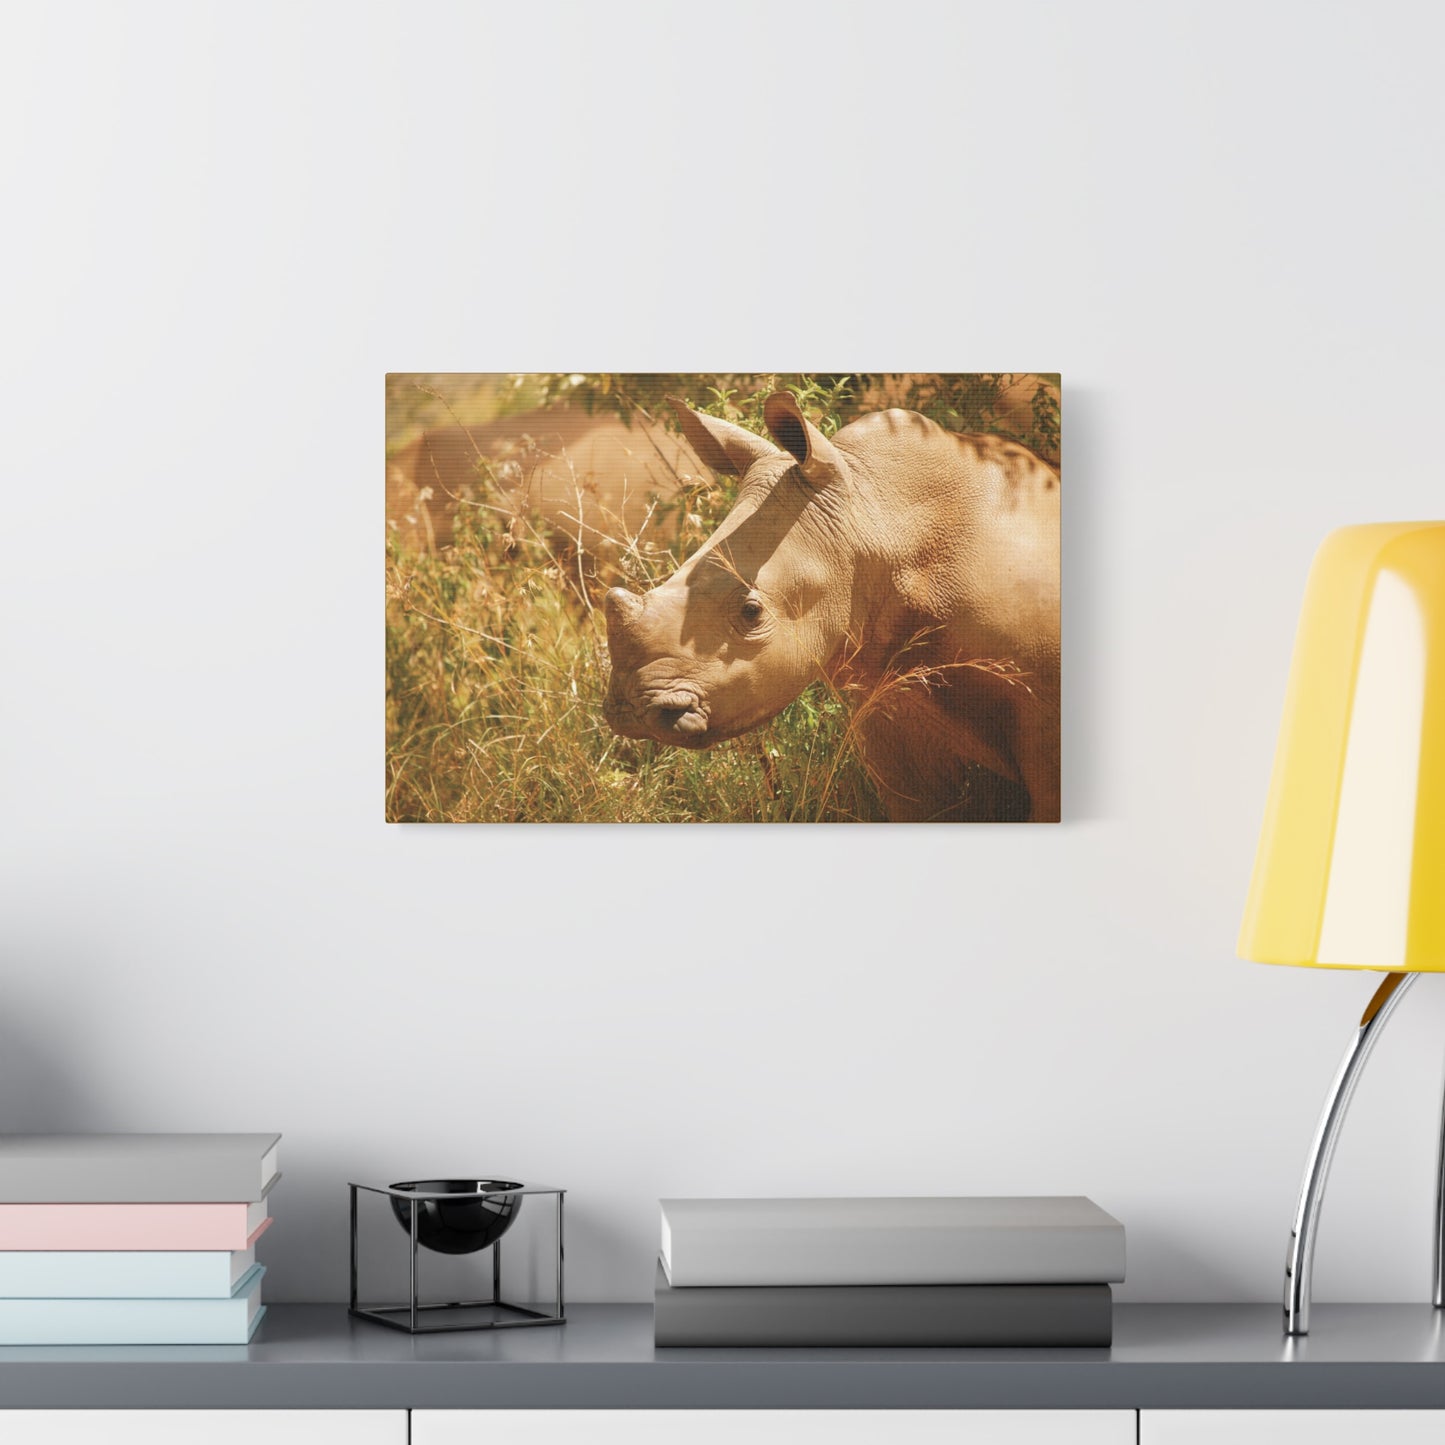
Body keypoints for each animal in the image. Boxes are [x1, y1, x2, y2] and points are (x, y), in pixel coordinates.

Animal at [602, 394, 1060, 822]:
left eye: (752, 612)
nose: (633, 710)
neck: (878, 518)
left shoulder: (1045, 713)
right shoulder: (893, 704)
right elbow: (924, 806)